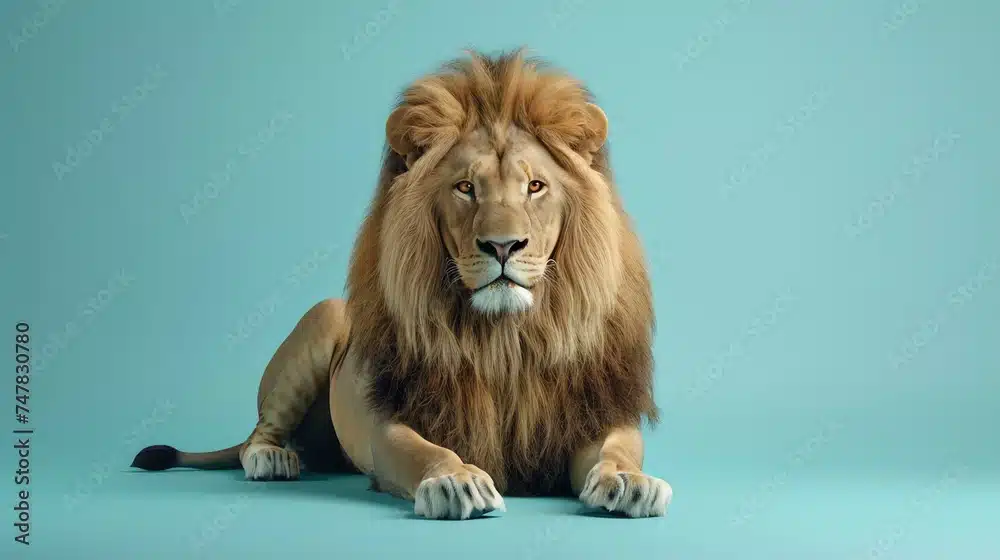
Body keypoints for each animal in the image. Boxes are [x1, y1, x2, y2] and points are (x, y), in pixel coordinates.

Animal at [131, 49, 672, 519]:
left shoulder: (594, 410)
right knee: (258, 433)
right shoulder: (392, 421)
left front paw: (629, 482)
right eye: (465, 188)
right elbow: (423, 451)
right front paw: (456, 481)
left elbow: (616, 449)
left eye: (535, 187)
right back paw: (273, 459)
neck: (505, 341)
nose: (502, 246)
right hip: (323, 318)